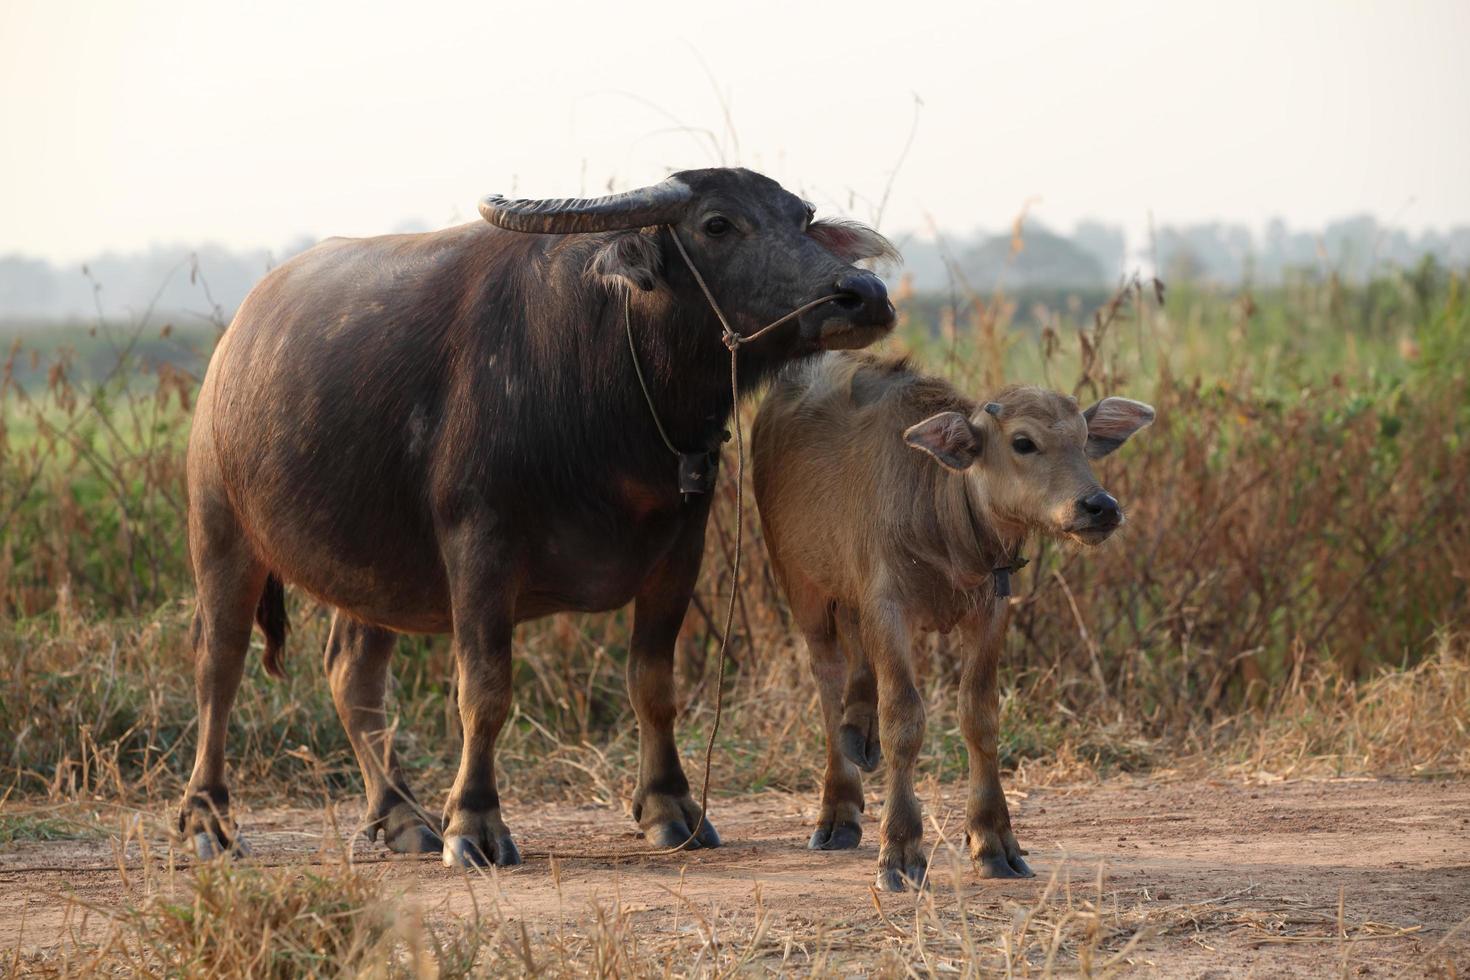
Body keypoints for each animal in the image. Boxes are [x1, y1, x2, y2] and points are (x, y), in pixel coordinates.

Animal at [179, 166, 899, 863]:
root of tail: (230, 348)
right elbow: (485, 691)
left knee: (351, 673)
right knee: (219, 663)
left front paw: (670, 807)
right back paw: (209, 821)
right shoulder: (480, 547)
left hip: (373, 575)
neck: (612, 382)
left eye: (802, 219)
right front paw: (474, 823)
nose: (863, 295)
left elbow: (652, 683)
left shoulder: (679, 549)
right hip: (220, 530)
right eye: (717, 223)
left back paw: (404, 818)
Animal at [752, 352, 1152, 887]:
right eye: (1023, 442)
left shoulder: (989, 610)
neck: (944, 519)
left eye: (1084, 439)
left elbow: (979, 716)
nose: (1099, 506)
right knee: (827, 680)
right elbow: (904, 720)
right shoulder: (888, 609)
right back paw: (838, 809)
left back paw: (860, 732)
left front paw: (993, 840)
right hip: (805, 588)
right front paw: (900, 849)